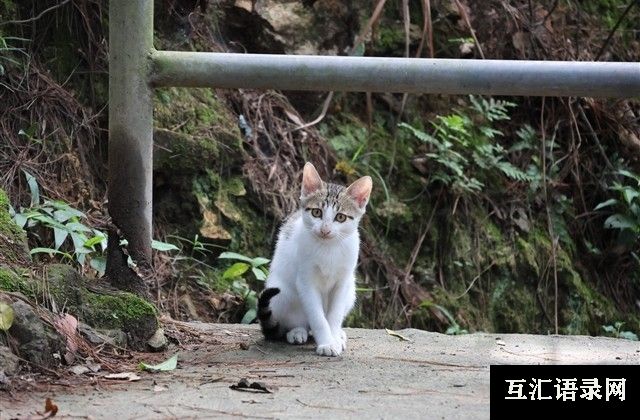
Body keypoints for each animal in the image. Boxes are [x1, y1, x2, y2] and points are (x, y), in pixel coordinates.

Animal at [258, 162, 372, 356]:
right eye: (317, 212)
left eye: (340, 217)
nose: (325, 230)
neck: (328, 248)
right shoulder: (306, 281)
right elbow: (317, 317)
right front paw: (326, 343)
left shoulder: (343, 282)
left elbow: (334, 315)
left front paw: (334, 338)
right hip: (280, 293)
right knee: (296, 320)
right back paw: (297, 331)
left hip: (351, 291)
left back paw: (338, 334)